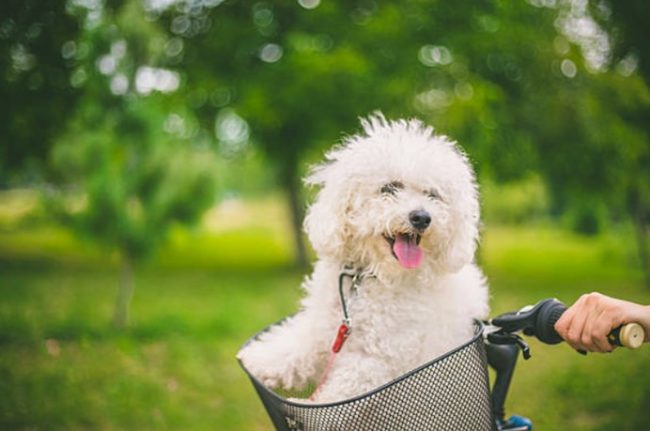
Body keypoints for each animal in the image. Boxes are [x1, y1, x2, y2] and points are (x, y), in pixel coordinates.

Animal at [238, 114, 486, 404]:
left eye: (433, 195)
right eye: (389, 188)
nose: (422, 217)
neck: (368, 278)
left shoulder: (375, 359)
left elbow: (339, 396)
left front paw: (305, 407)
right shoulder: (324, 329)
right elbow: (298, 347)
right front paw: (259, 359)